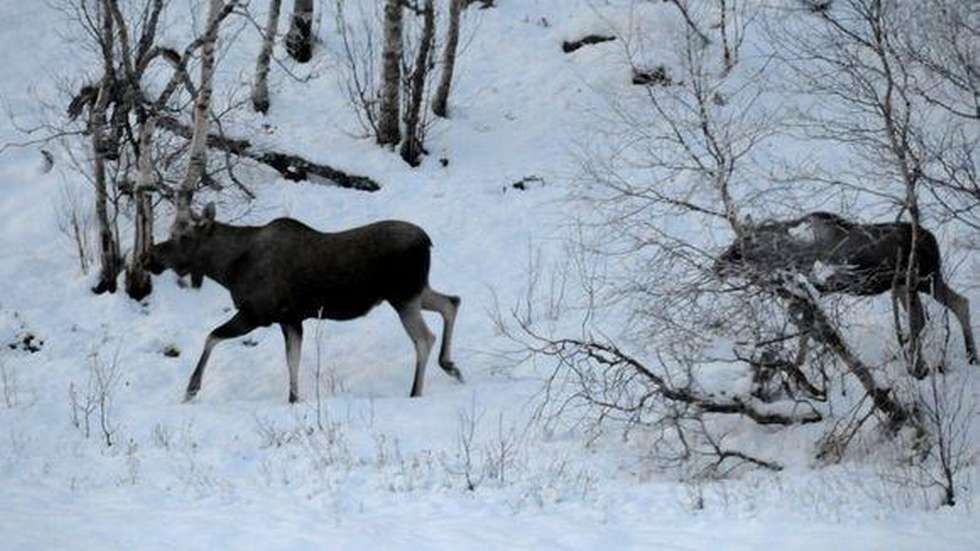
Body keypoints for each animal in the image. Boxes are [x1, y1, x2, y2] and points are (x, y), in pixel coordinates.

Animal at [144, 203, 463, 402]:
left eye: (184, 236)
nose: (150, 258)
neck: (228, 269)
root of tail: (427, 241)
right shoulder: (291, 319)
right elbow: (292, 360)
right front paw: (293, 398)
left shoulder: (256, 314)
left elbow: (211, 336)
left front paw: (191, 389)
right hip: (415, 292)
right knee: (452, 301)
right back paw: (450, 366)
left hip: (403, 296)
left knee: (425, 337)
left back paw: (416, 391)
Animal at [715, 211, 977, 378]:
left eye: (738, 249)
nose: (717, 265)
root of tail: (932, 239)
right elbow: (802, 322)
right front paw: (801, 363)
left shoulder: (825, 286)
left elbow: (802, 322)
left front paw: (801, 363)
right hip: (917, 282)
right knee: (955, 304)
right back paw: (968, 355)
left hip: (918, 279)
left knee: (921, 319)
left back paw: (922, 365)